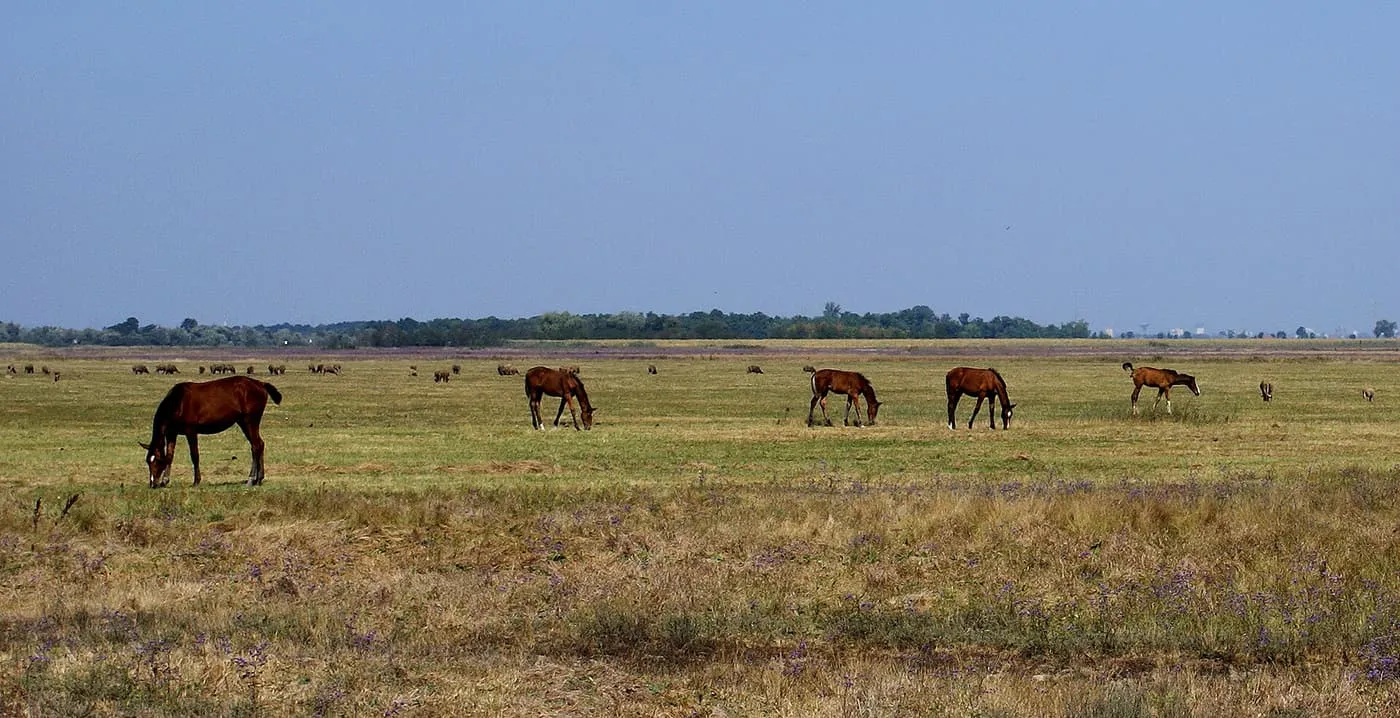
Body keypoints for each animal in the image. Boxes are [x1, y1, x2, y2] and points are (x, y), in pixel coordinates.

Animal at [140, 375, 282, 488]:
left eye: (157, 461)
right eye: (148, 461)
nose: (153, 484)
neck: (178, 402)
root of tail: (261, 384)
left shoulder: (191, 431)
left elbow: (195, 455)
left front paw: (196, 481)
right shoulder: (171, 433)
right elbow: (170, 456)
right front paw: (165, 480)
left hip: (250, 421)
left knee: (256, 446)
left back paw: (251, 479)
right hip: (243, 422)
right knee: (259, 444)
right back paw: (259, 479)